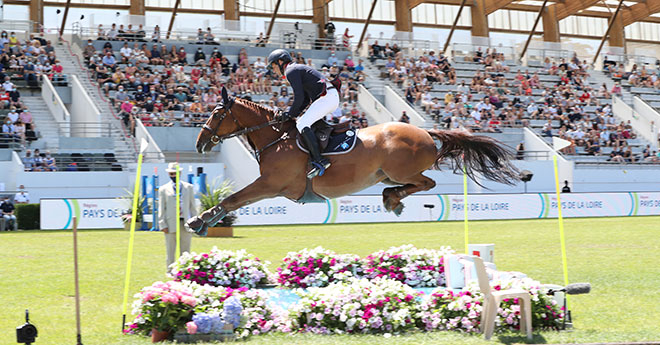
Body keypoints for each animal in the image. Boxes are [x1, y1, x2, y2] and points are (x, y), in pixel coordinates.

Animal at [184, 87, 516, 235]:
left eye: (216, 114)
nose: (199, 143)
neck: (275, 137)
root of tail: (424, 129)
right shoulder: (270, 186)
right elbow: (234, 201)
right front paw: (203, 221)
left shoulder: (270, 184)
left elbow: (232, 199)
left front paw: (198, 221)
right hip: (388, 173)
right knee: (413, 185)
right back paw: (393, 199)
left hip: (401, 170)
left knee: (427, 182)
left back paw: (392, 199)